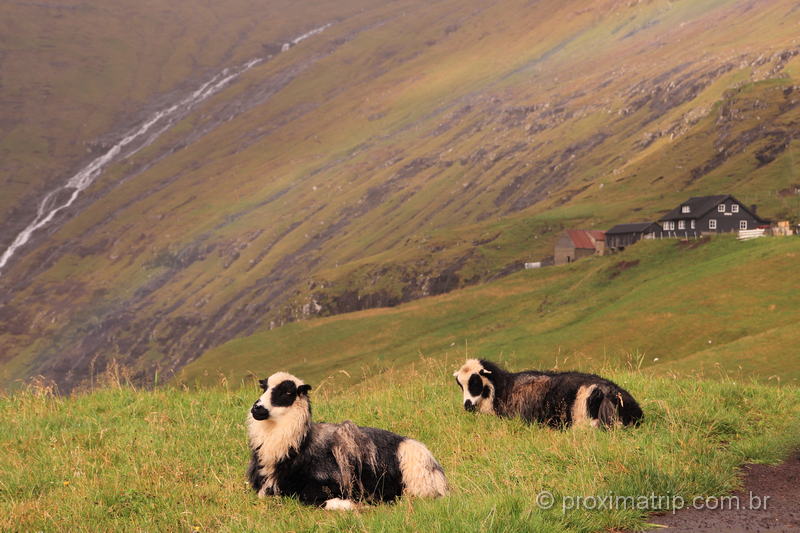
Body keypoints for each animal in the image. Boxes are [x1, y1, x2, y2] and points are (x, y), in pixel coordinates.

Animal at [247, 372, 446, 510]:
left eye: (287, 392)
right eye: (264, 388)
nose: (257, 408)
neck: (298, 447)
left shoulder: (330, 482)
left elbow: (309, 497)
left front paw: (352, 505)